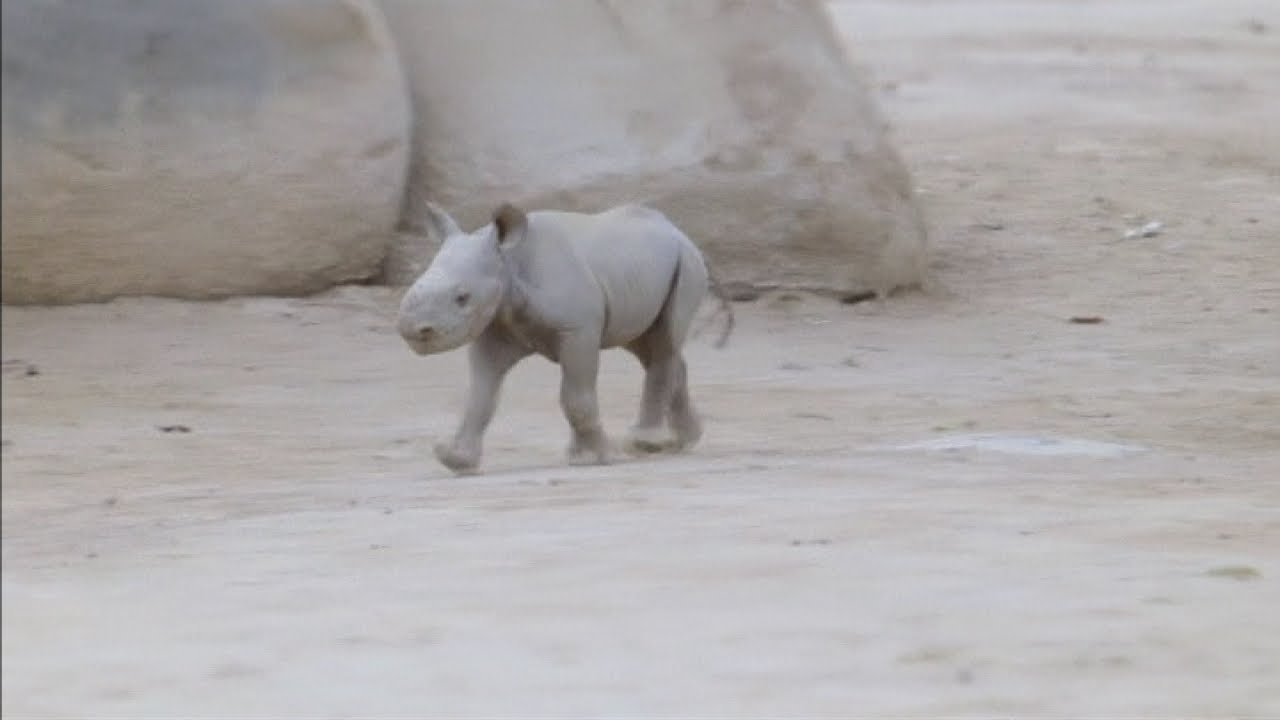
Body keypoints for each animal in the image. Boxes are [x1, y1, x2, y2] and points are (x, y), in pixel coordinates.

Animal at [396, 200, 734, 475]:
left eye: (462, 298)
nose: (413, 330)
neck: (510, 263)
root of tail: (678, 231)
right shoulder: (495, 328)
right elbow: (481, 397)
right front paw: (455, 460)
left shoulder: (578, 329)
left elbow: (575, 398)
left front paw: (602, 457)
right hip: (642, 270)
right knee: (646, 345)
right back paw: (681, 442)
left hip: (686, 264)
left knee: (665, 339)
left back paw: (643, 444)